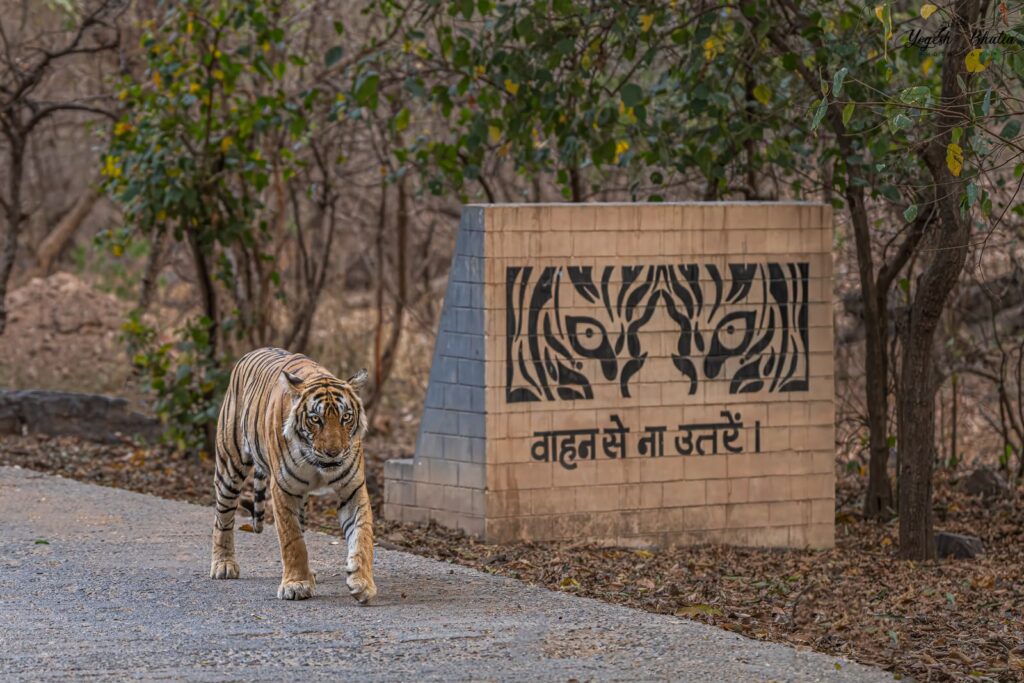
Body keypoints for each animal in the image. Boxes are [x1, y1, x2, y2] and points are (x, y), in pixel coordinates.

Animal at [209, 347, 376, 604]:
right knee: (223, 517)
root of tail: (254, 351)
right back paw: (223, 564)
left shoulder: (353, 490)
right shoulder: (283, 489)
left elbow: (362, 536)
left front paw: (362, 583)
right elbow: (292, 539)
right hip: (230, 465)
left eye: (345, 417)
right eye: (316, 419)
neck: (317, 465)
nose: (333, 452)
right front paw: (296, 584)